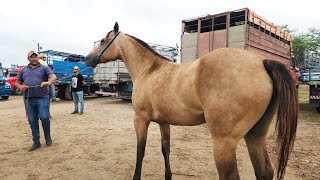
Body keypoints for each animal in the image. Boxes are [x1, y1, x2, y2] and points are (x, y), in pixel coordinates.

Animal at [85, 22, 298, 180]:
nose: (87, 59)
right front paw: (168, 176)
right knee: (264, 171)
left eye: (103, 40)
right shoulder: (164, 122)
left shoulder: (141, 120)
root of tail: (262, 62)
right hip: (255, 135)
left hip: (224, 142)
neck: (149, 70)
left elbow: (140, 151)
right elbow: (165, 149)